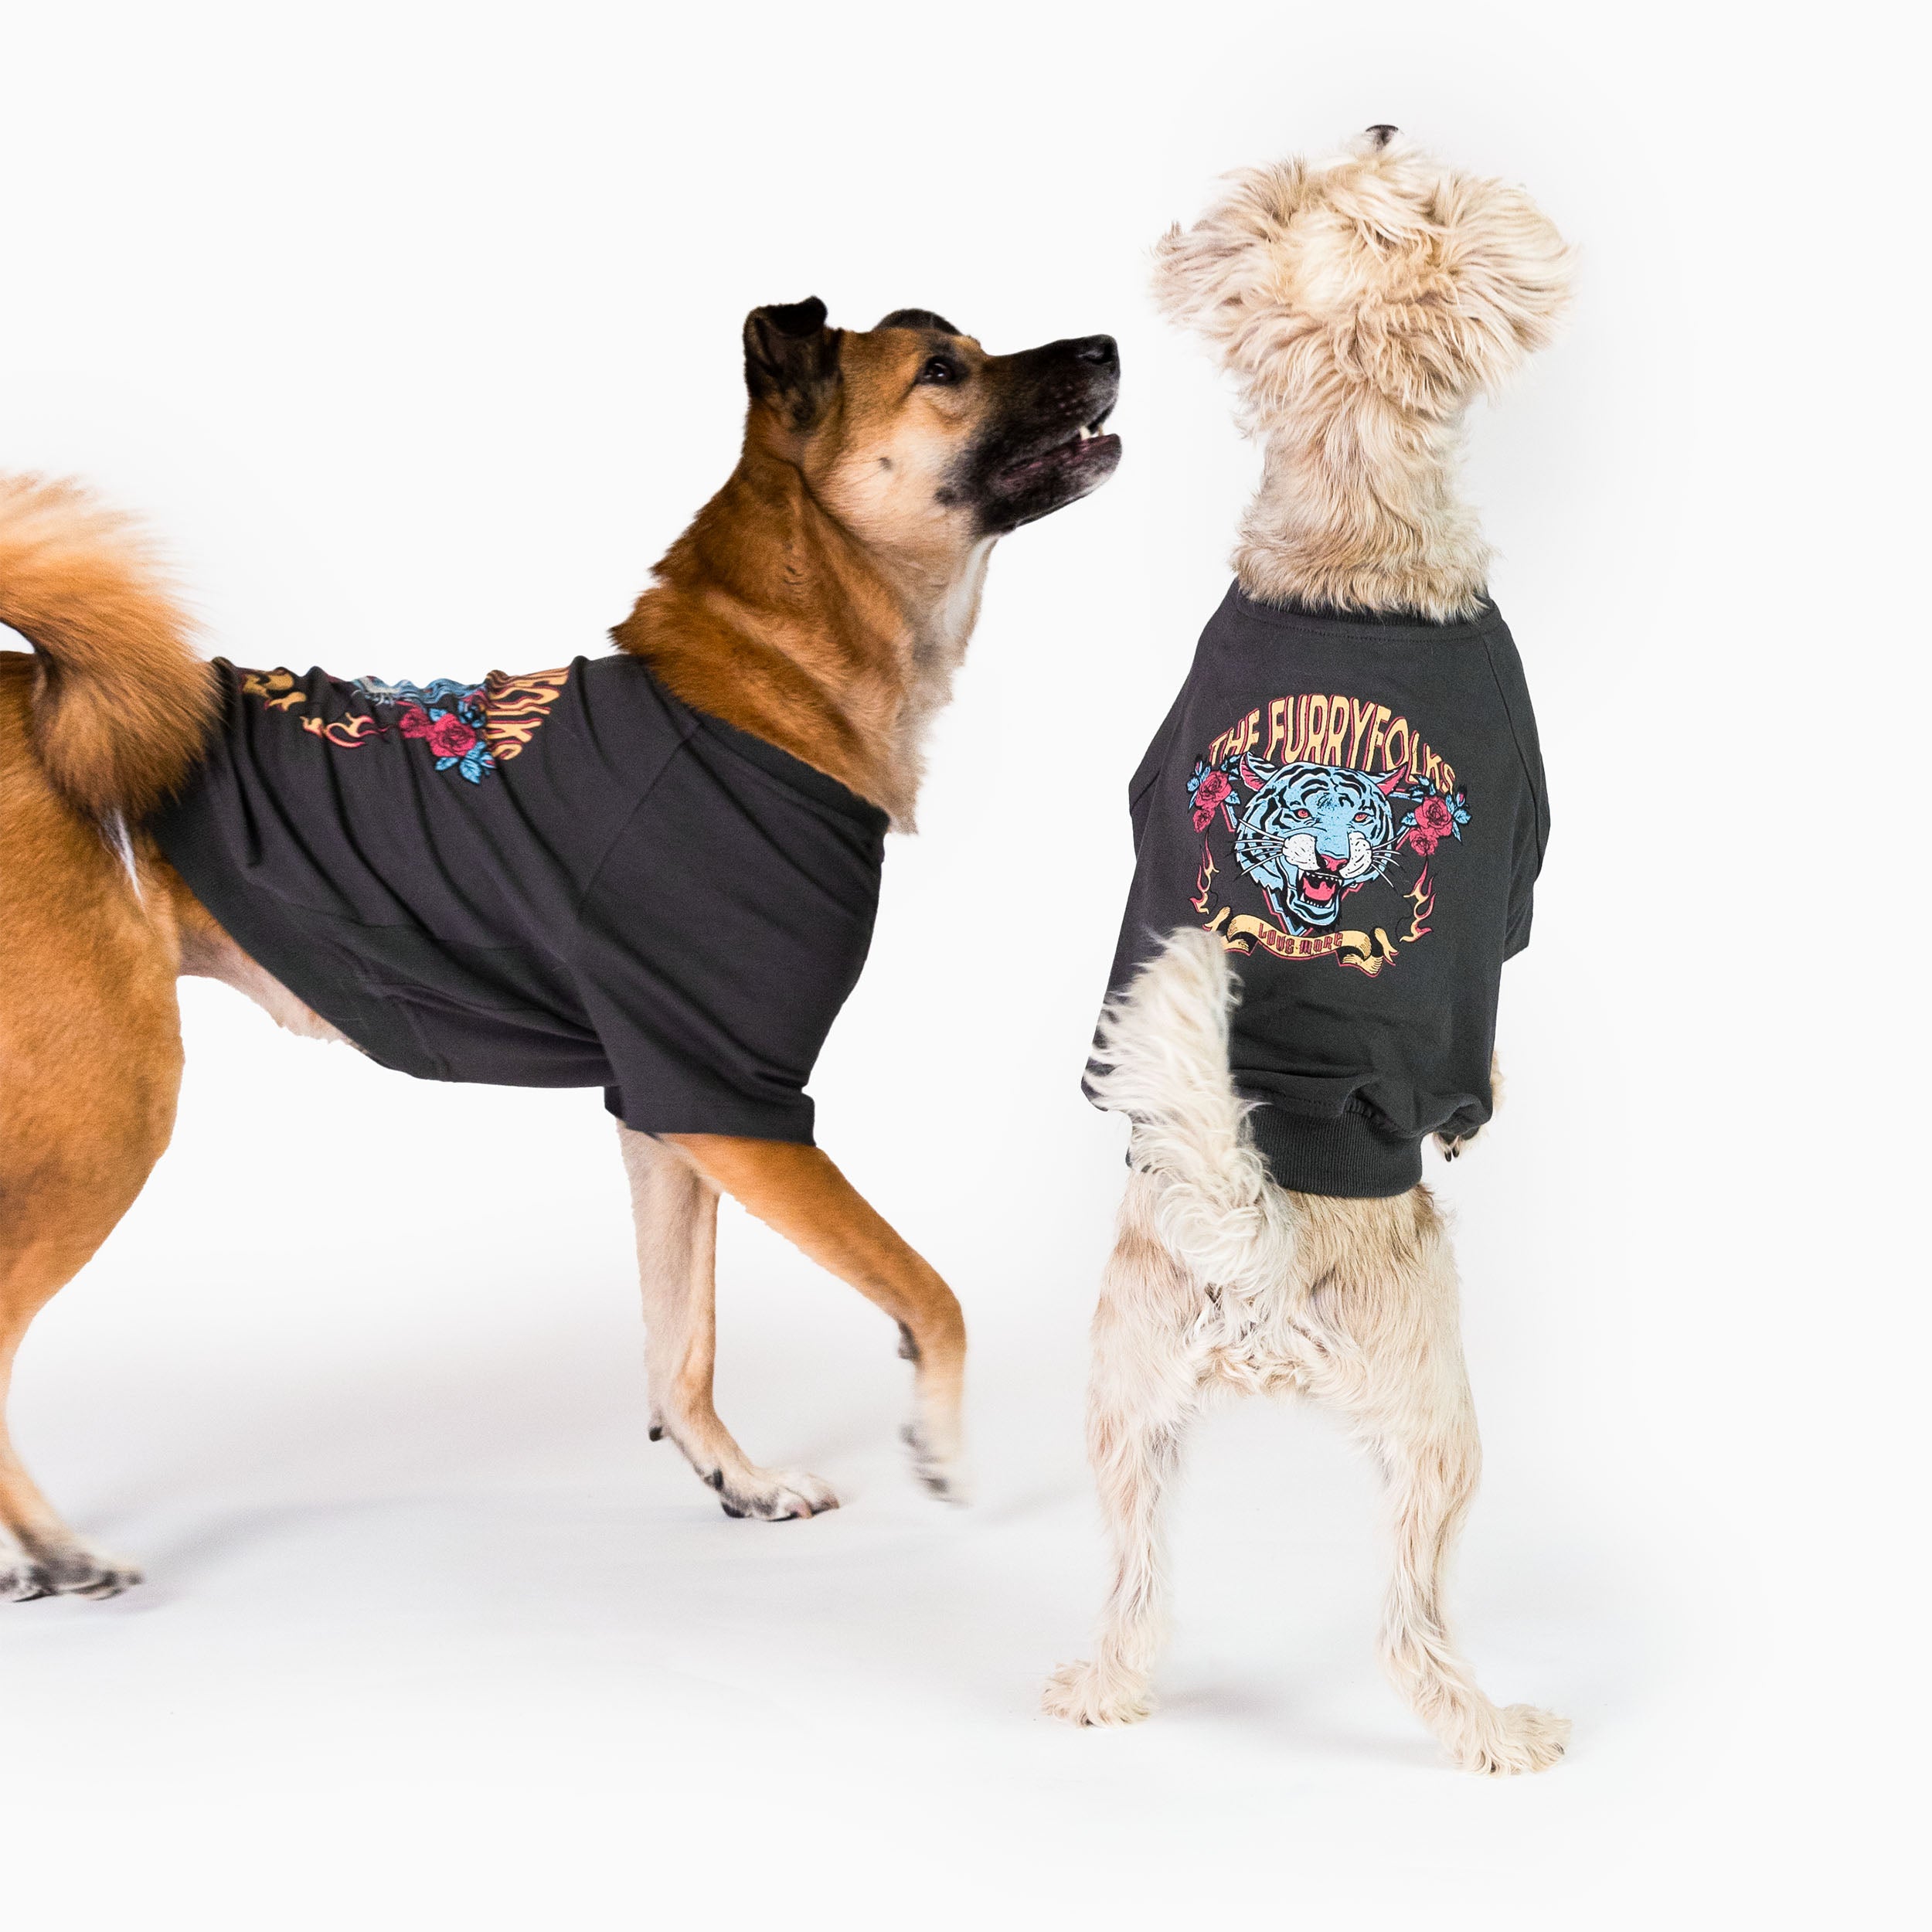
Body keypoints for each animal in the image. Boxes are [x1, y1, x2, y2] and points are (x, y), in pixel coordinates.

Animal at [0, 301, 1128, 1600]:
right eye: (944, 370)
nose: (1106, 345)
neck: (764, 682)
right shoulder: (743, 1110)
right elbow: (929, 1291)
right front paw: (939, 1443)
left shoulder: (670, 1106)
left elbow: (681, 1336)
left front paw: (735, 1478)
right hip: (107, 1111)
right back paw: (57, 1547)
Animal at [1051, 128, 1577, 1770]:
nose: (1389, 119)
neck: (1348, 507)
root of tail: (1260, 1242)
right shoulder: (1522, 870)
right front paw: (1483, 1110)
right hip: (1441, 1425)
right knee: (1410, 1632)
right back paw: (1498, 1730)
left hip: (1127, 1410)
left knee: (1135, 1595)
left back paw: (1100, 1693)